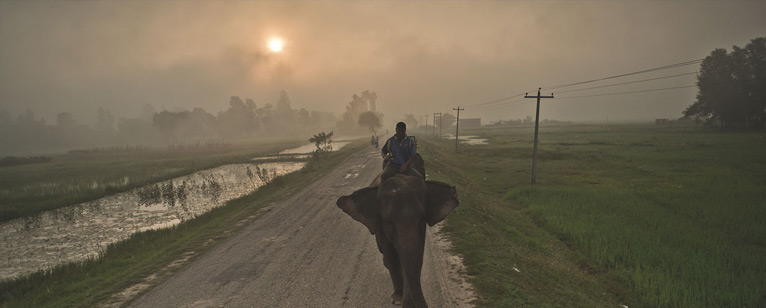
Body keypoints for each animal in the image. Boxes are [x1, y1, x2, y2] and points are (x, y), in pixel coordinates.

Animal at [334, 173, 456, 308]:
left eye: (422, 218)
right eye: (389, 222)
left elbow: (417, 257)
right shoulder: (380, 225)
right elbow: (392, 257)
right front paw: (397, 300)